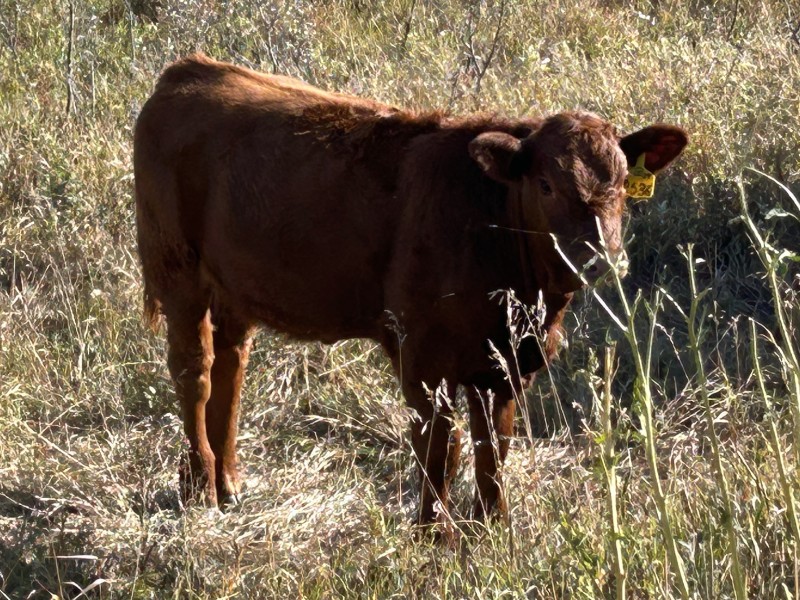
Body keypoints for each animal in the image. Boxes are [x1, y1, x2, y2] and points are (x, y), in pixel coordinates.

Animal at [134, 53, 687, 532]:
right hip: (176, 270)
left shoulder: (505, 366)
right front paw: (432, 536)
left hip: (233, 286)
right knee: (194, 370)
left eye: (623, 183)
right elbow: (441, 445)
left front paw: (493, 528)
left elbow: (492, 447)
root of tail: (190, 70)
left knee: (231, 364)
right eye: (547, 185)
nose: (602, 259)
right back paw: (200, 486)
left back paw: (228, 481)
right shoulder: (423, 357)